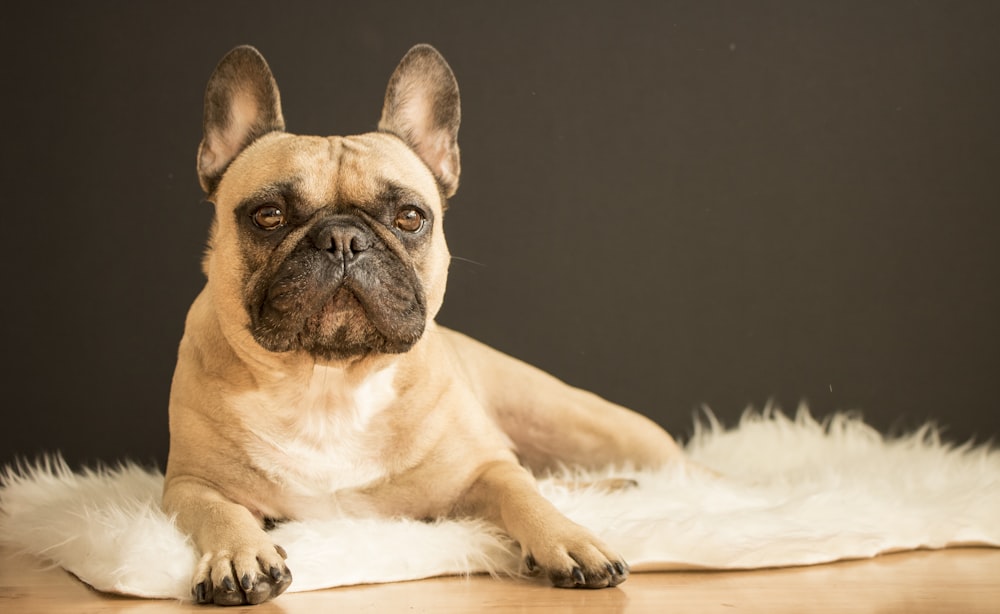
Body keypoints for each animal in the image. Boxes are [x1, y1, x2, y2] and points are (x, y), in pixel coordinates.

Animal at [164, 43, 684, 608]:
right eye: (268, 215)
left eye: (410, 217)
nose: (343, 239)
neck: (328, 383)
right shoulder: (187, 483)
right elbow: (219, 509)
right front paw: (240, 554)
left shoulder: (485, 468)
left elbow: (522, 493)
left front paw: (568, 538)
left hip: (585, 423)